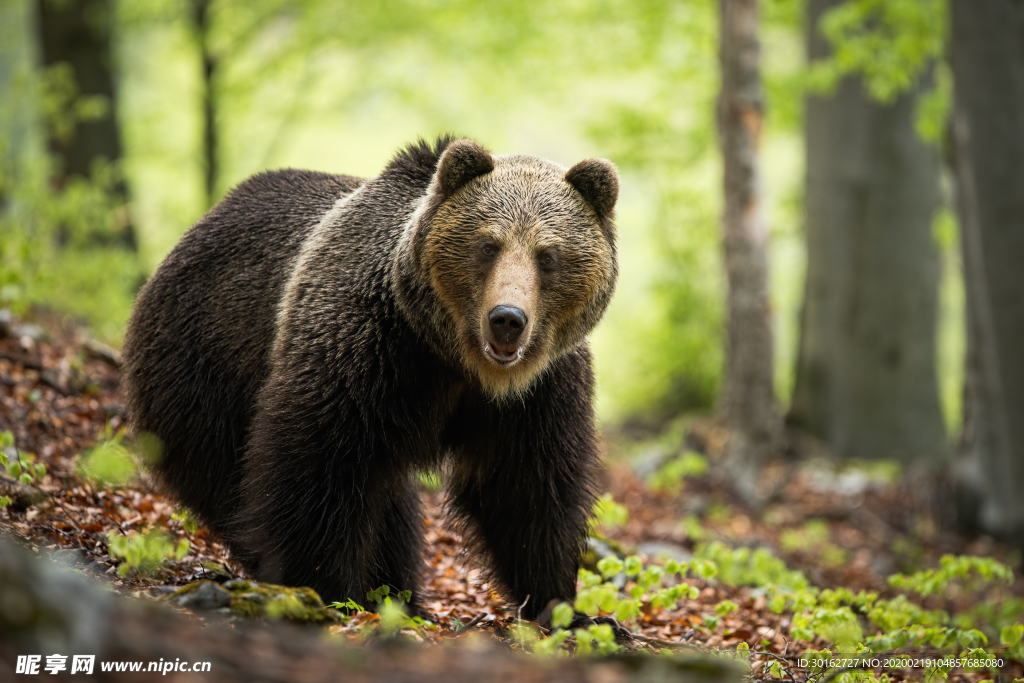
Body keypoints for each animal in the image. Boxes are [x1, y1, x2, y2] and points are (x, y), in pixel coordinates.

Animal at [119, 136, 614, 622]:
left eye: (547, 255)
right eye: (487, 245)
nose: (507, 319)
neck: (457, 360)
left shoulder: (539, 392)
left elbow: (527, 489)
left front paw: (562, 606)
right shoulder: (366, 346)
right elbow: (319, 464)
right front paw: (326, 586)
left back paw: (397, 593)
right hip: (207, 362)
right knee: (225, 475)